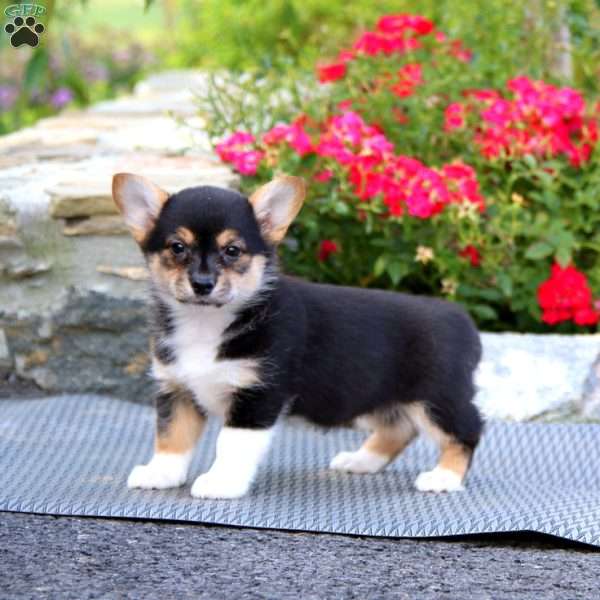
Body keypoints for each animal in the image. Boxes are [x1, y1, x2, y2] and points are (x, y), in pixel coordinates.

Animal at [112, 172, 482, 496]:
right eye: (177, 247)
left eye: (232, 251)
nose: (202, 284)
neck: (206, 322)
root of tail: (461, 318)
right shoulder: (177, 389)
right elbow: (171, 437)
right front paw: (161, 473)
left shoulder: (257, 396)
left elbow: (230, 444)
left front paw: (222, 483)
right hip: (383, 396)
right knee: (400, 427)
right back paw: (362, 460)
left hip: (437, 397)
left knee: (468, 429)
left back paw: (444, 477)